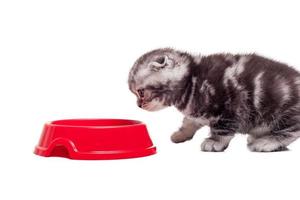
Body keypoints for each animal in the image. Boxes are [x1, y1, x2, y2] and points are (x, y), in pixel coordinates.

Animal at [127, 48, 300, 152]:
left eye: (140, 92)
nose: (138, 105)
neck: (191, 81)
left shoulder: (230, 106)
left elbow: (222, 129)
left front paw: (215, 141)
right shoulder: (195, 111)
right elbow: (189, 121)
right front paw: (181, 134)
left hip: (283, 112)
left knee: (292, 130)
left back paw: (267, 141)